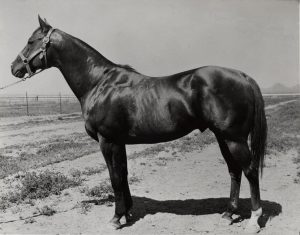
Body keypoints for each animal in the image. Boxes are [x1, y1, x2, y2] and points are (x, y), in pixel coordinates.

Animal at [10, 16, 266, 233]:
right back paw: (229, 213)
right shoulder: (119, 142)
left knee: (250, 170)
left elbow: (114, 178)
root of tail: (242, 76)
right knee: (234, 171)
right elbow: (123, 174)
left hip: (234, 138)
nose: (14, 68)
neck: (99, 82)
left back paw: (253, 220)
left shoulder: (107, 141)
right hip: (223, 137)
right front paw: (127, 213)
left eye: (31, 41)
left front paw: (116, 219)